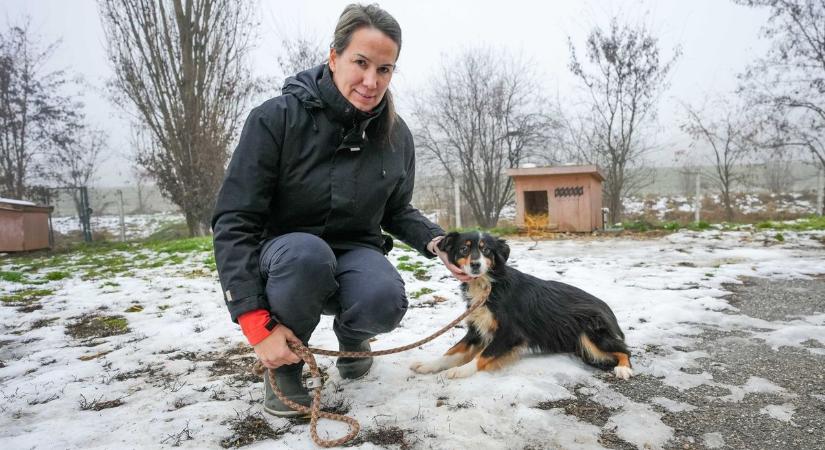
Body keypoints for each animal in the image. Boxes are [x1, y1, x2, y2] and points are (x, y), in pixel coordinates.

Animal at [410, 232, 632, 380]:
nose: (475, 265)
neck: (488, 285)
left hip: (590, 333)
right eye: (464, 248)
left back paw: (624, 369)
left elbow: (483, 355)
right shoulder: (477, 331)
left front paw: (459, 370)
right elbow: (451, 352)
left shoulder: (511, 333)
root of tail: (607, 309)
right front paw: (428, 365)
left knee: (624, 350)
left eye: (486, 250)